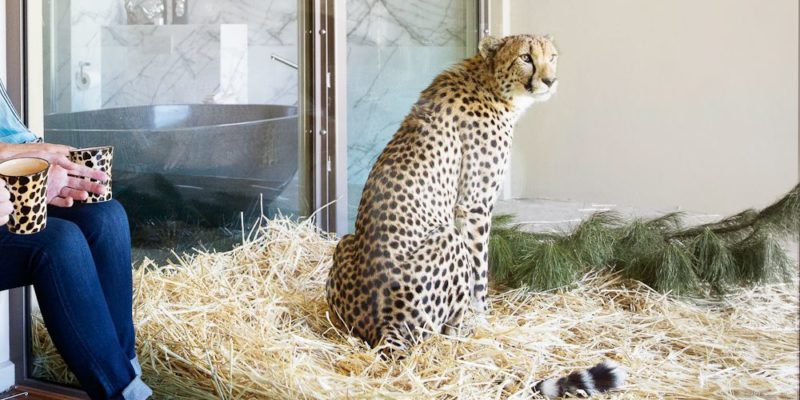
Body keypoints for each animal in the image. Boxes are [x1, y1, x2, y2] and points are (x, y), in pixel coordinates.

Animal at [326, 34, 625, 397]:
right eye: (526, 57)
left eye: (552, 57)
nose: (550, 80)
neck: (489, 80)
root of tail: (383, 326)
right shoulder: (474, 205)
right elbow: (480, 271)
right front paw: (482, 318)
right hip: (447, 240)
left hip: (345, 242)